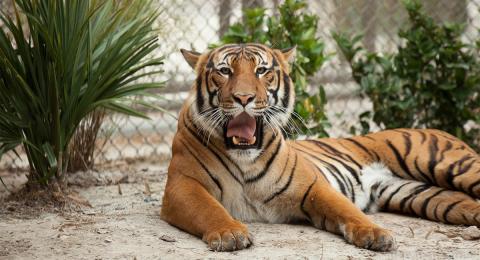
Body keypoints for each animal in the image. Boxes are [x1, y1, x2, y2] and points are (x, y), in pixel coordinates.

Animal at [161, 42, 480, 252]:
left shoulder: (312, 186)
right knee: (463, 202)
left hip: (449, 165)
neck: (244, 158)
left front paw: (375, 233)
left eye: (262, 70)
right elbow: (208, 209)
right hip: (419, 194)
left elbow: (346, 210)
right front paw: (230, 233)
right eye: (225, 71)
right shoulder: (182, 185)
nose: (243, 98)